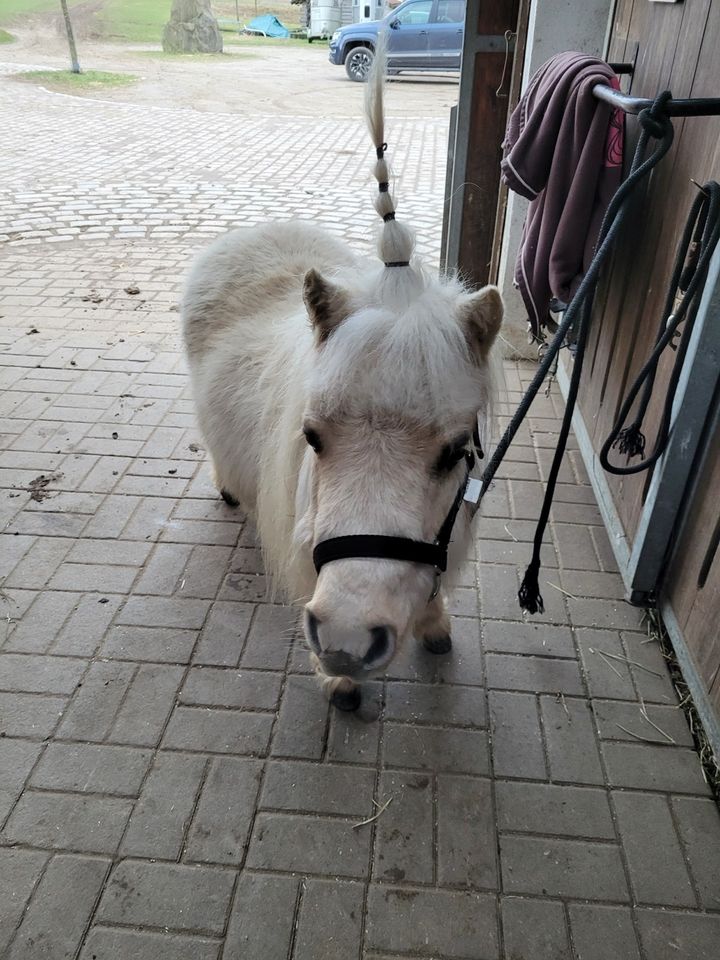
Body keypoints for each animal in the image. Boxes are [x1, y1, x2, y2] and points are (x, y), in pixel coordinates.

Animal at [183, 48, 504, 712]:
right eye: (311, 437)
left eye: (455, 452)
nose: (346, 641)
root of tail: (247, 234)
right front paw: (338, 681)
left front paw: (433, 626)